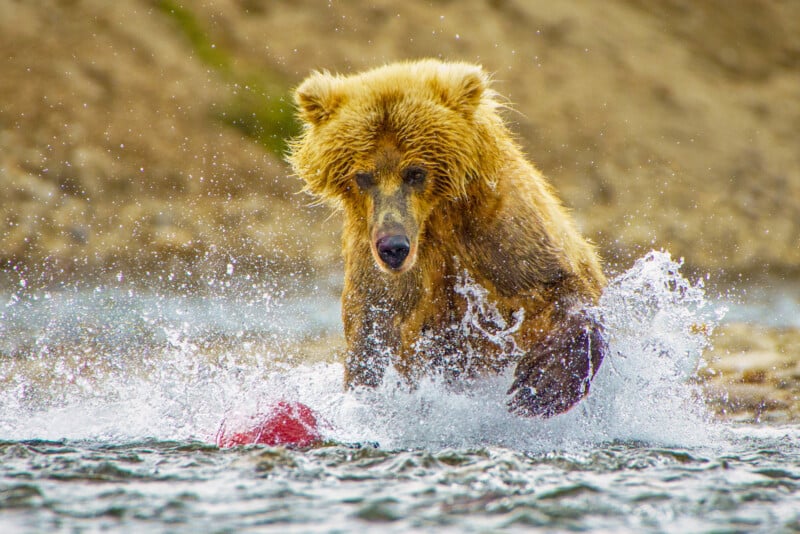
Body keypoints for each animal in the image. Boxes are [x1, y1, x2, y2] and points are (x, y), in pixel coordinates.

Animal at [287, 59, 607, 417]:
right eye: (363, 176)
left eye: (415, 172)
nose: (393, 247)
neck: (436, 221)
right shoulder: (380, 265)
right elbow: (377, 332)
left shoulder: (500, 231)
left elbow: (554, 284)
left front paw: (542, 385)